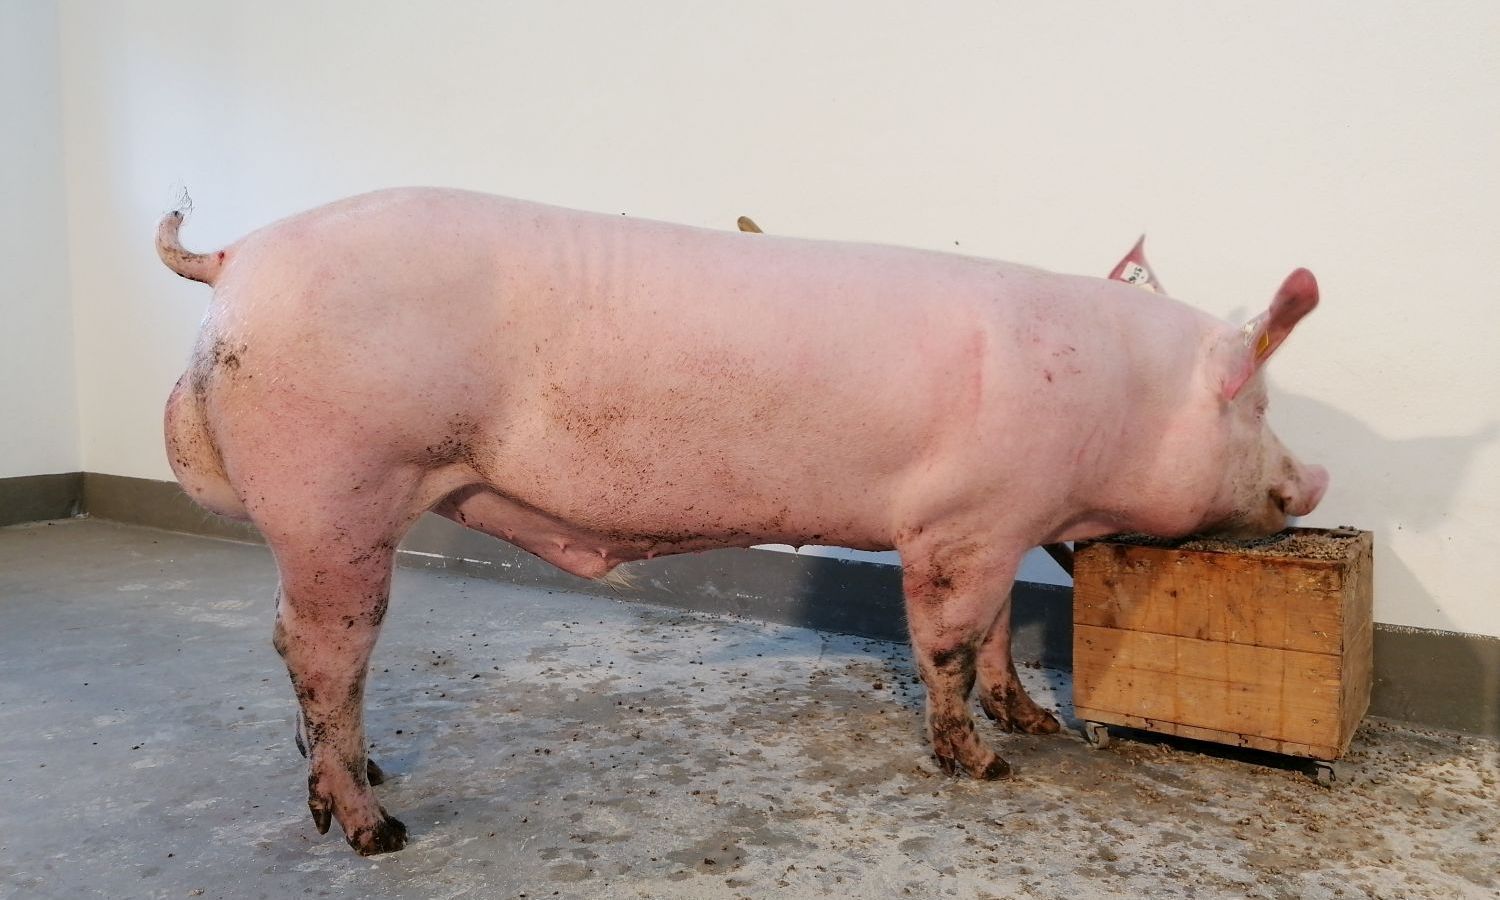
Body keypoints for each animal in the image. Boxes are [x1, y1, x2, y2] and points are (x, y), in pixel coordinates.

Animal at [156, 188, 1328, 855]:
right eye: (1257, 404)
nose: (1313, 479)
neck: (1115, 405)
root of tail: (236, 256)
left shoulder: (1005, 526)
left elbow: (999, 635)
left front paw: (1034, 725)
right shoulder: (958, 526)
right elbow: (946, 643)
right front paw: (989, 768)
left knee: (296, 649)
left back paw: (371, 783)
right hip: (339, 492)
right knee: (321, 652)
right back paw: (377, 830)